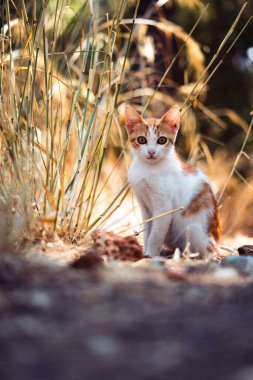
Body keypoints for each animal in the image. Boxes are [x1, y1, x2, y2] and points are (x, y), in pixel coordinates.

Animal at [125, 104, 220, 258]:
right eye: (141, 140)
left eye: (162, 140)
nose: (151, 152)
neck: (148, 168)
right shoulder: (145, 207)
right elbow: (147, 231)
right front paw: (145, 252)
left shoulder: (164, 207)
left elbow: (155, 235)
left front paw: (150, 253)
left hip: (194, 229)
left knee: (204, 253)